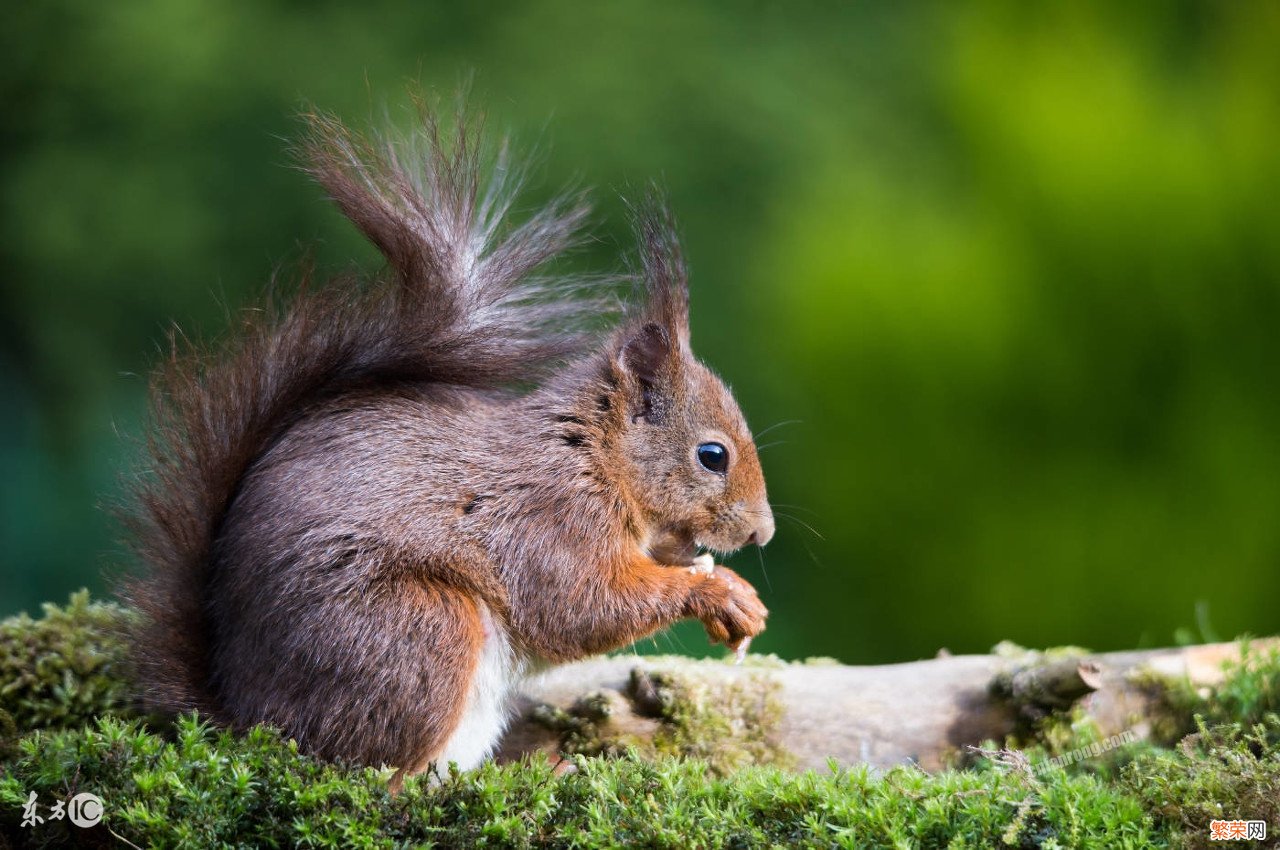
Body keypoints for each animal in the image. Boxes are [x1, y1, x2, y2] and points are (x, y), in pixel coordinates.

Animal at [122, 103, 768, 778]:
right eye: (713, 456)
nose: (762, 533)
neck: (593, 455)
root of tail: (250, 717)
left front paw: (737, 593)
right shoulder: (550, 520)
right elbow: (582, 608)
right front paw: (717, 592)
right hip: (420, 629)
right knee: (373, 771)